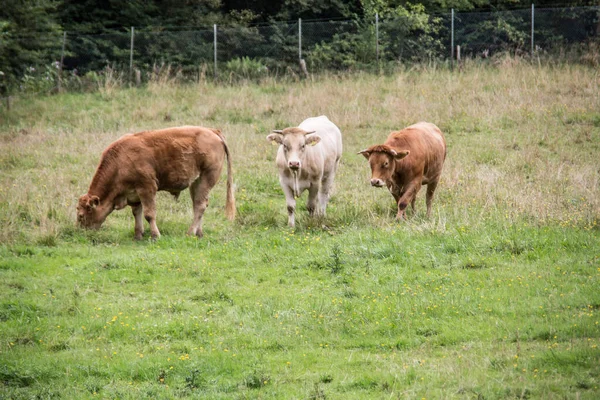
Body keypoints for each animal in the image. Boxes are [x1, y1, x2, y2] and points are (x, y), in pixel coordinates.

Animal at [75, 126, 234, 238]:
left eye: (81, 215)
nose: (80, 233)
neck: (120, 161)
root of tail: (213, 131)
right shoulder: (134, 193)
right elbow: (136, 212)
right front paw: (138, 235)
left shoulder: (147, 188)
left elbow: (149, 214)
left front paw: (155, 235)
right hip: (196, 182)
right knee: (199, 204)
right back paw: (199, 233)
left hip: (207, 177)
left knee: (200, 206)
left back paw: (189, 233)